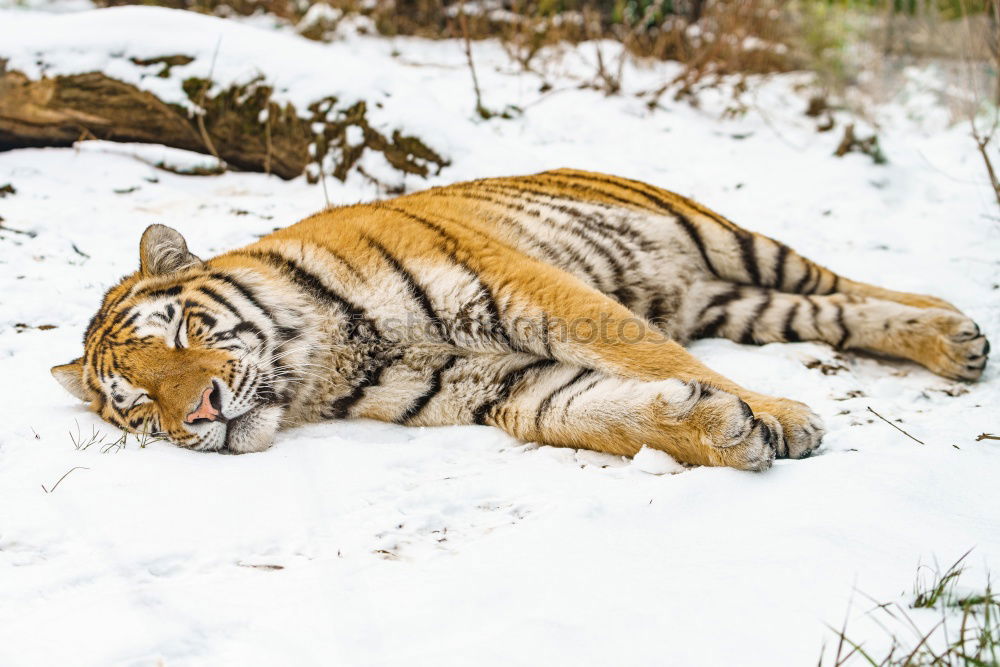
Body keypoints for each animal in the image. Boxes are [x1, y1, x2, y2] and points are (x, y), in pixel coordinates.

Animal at [50, 170, 988, 472]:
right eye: (138, 403)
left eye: (180, 334)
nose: (200, 412)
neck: (324, 361)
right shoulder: (495, 382)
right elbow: (590, 413)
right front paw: (722, 431)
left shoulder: (530, 288)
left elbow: (654, 357)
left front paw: (784, 416)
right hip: (736, 301)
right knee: (830, 309)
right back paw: (952, 342)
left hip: (731, 242)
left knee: (848, 281)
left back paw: (953, 325)